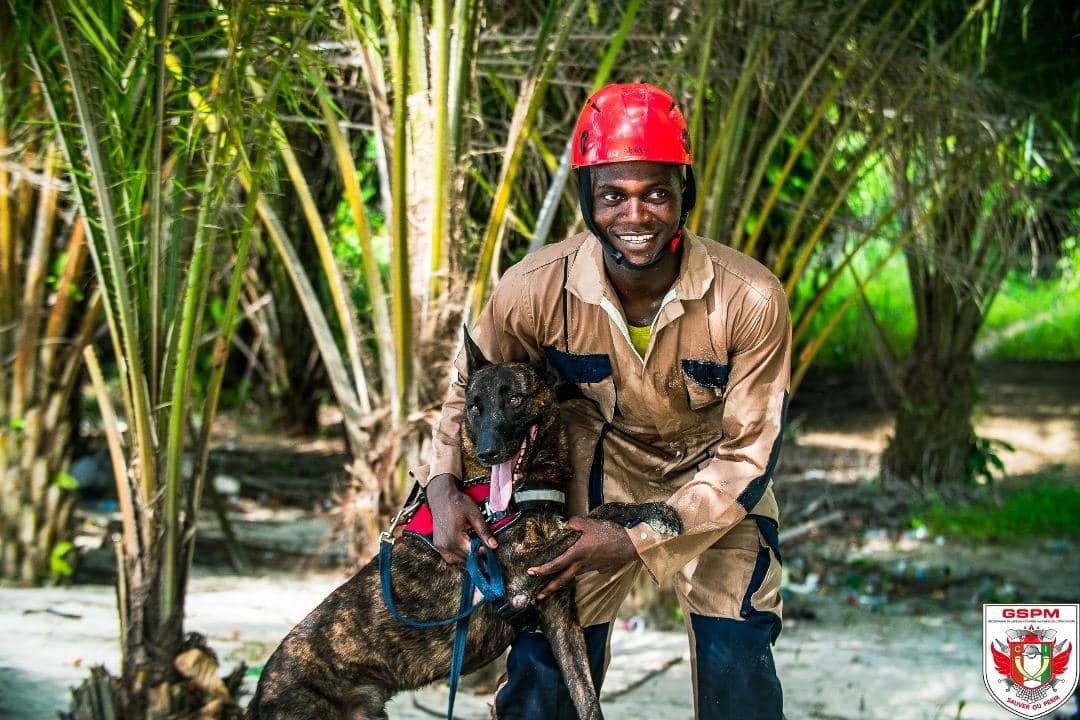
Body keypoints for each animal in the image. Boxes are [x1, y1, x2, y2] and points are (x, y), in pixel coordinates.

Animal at [248, 332, 678, 720]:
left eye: (514, 399)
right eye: (473, 407)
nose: (488, 452)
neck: (520, 493)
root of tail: (259, 692)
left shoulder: (559, 617)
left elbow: (587, 699)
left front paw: (656, 509)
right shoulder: (519, 573)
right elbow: (593, 516)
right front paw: (656, 511)